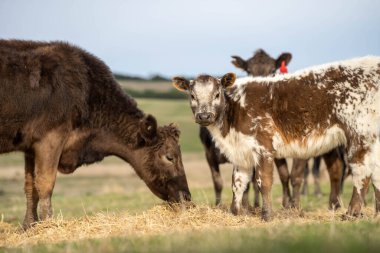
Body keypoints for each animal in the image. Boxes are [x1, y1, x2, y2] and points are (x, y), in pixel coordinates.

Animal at [0, 40, 191, 229]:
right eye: (170, 157)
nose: (187, 196)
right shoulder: (50, 138)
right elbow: (45, 184)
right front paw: (48, 225)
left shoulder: (29, 147)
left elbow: (30, 186)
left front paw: (29, 226)